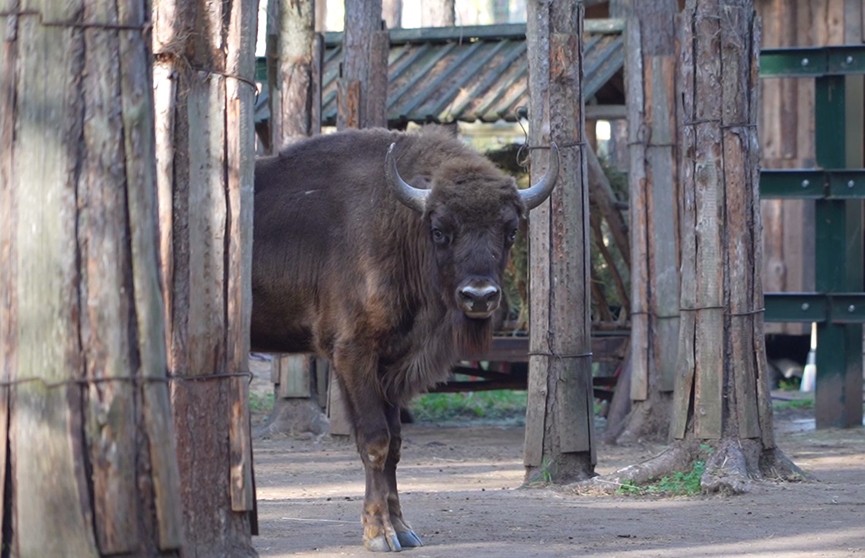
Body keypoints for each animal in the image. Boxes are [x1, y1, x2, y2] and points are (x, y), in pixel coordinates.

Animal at [250, 129, 560, 552]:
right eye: (440, 231)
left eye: (510, 231)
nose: (479, 296)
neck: (400, 222)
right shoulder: (353, 356)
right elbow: (375, 441)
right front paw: (379, 534)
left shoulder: (391, 365)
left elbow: (395, 445)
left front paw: (403, 529)